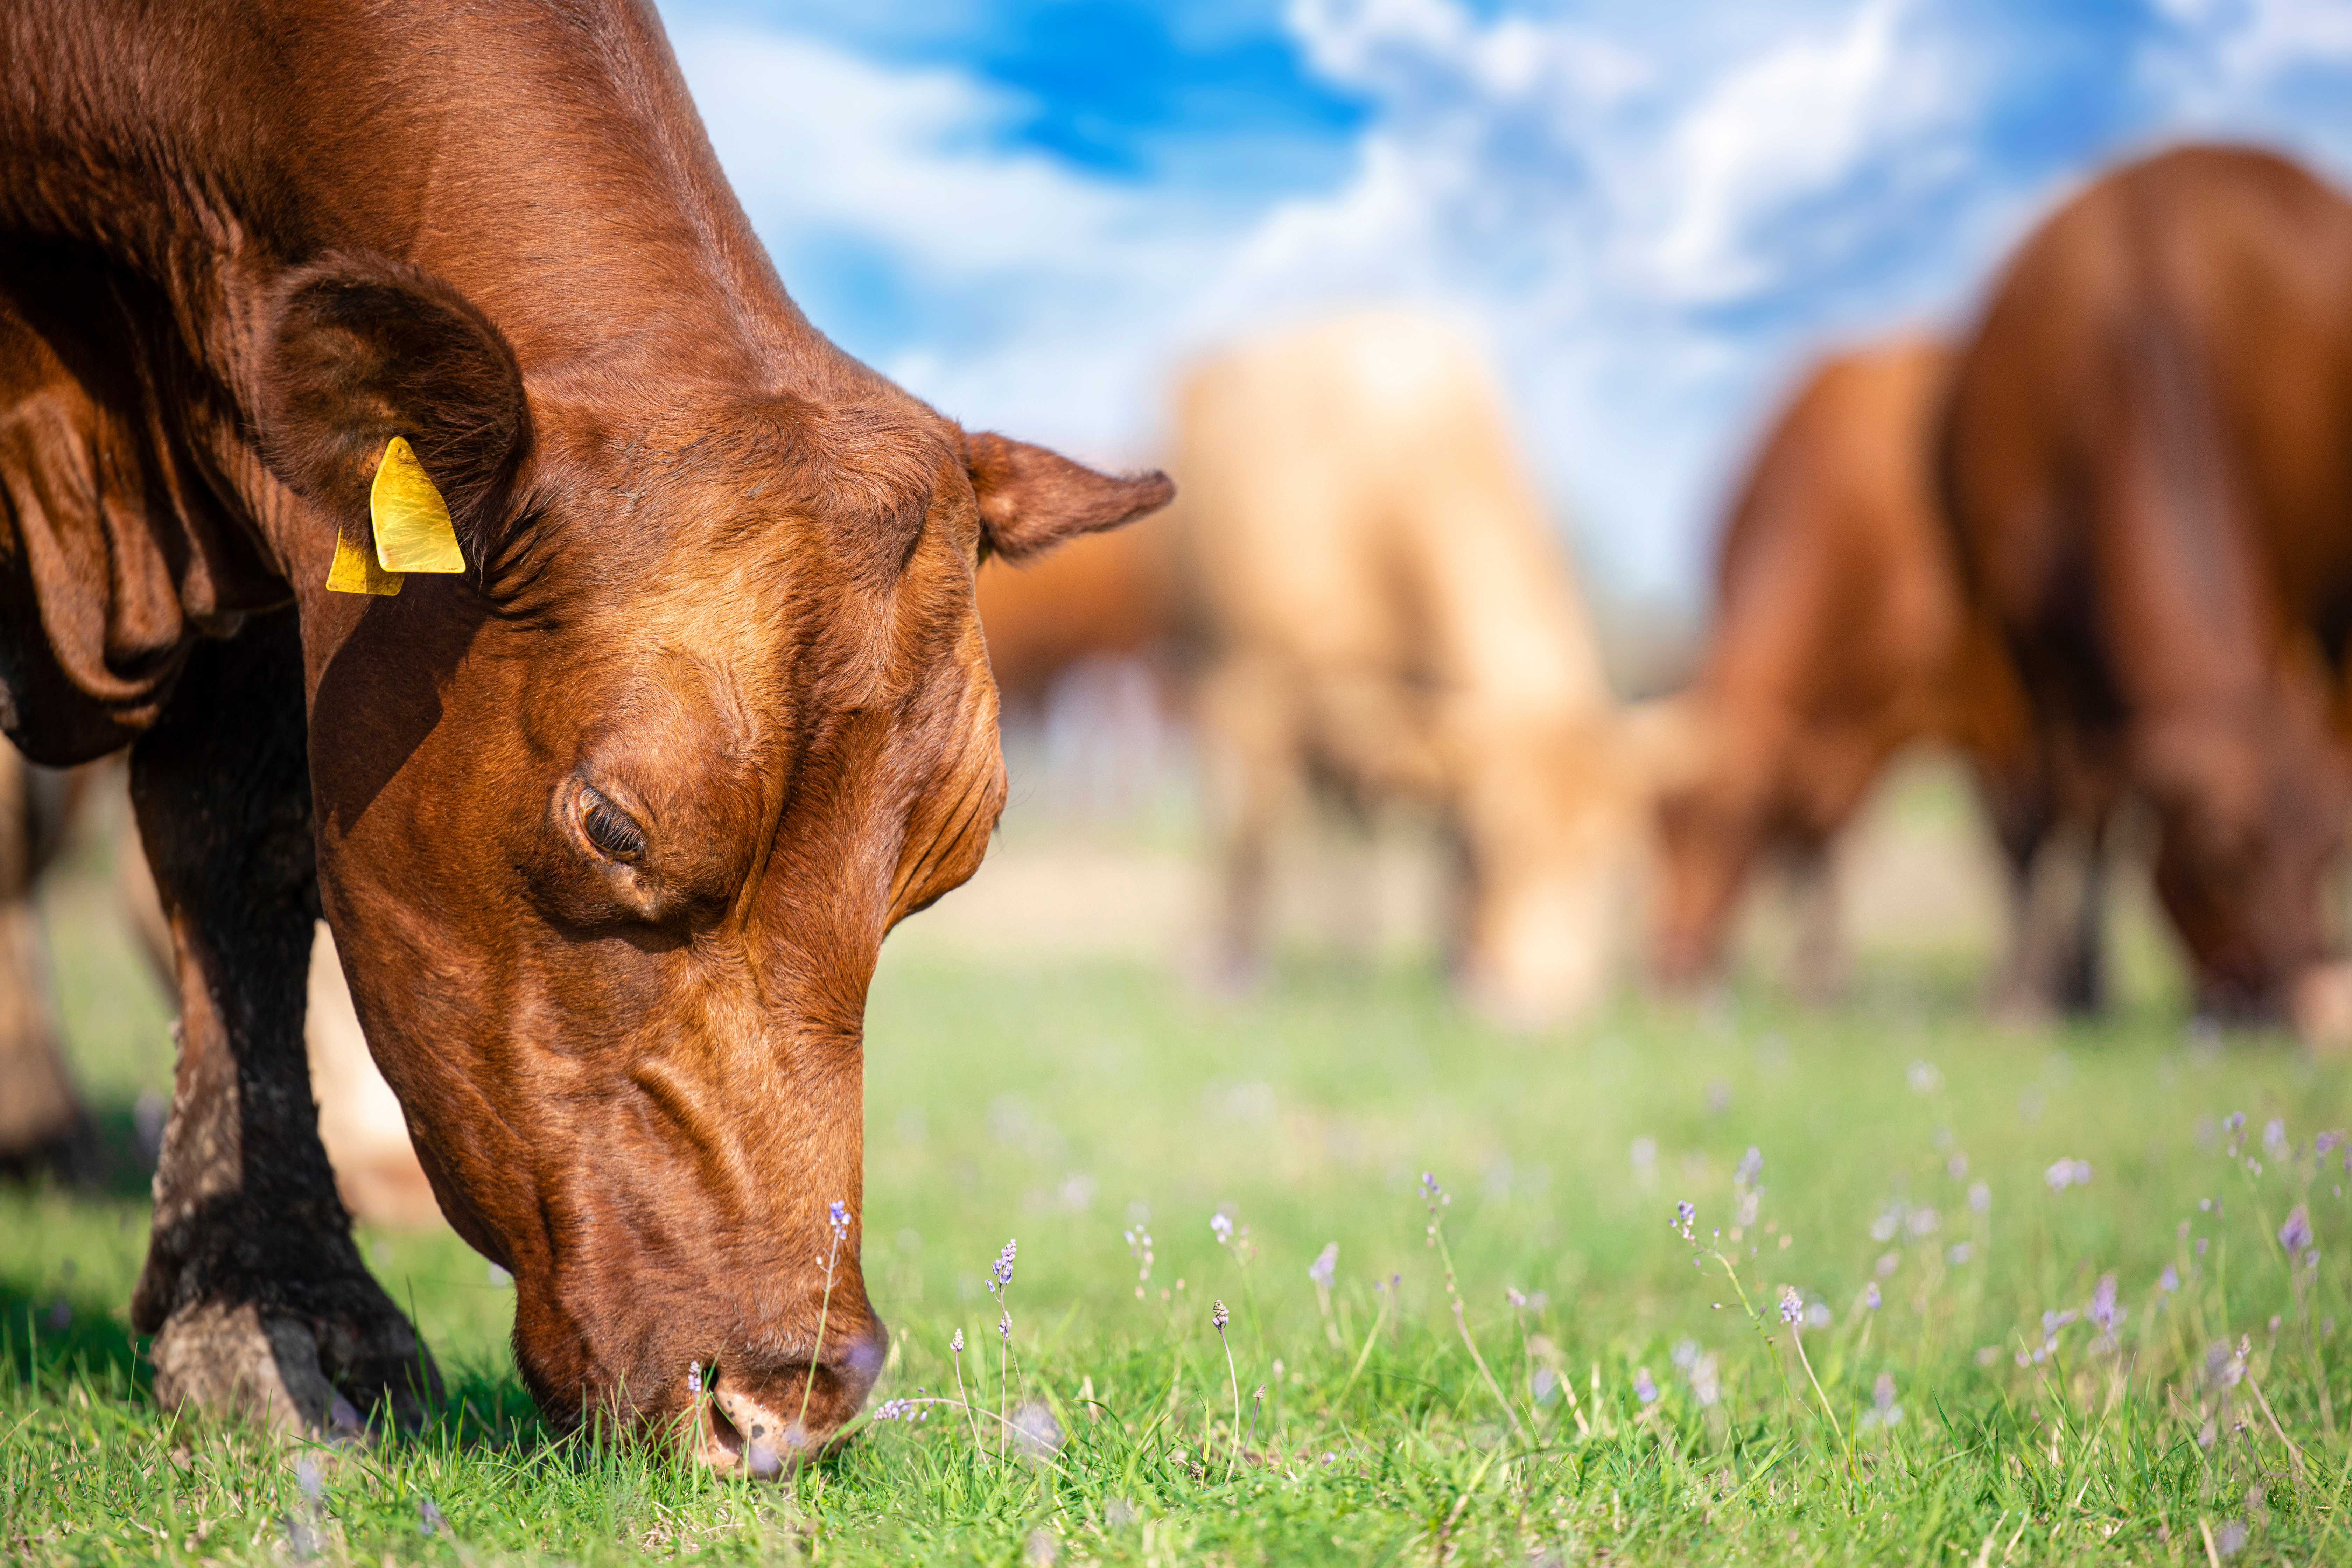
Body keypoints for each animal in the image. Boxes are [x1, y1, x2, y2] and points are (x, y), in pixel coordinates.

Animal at [1176, 310, 1637, 1025]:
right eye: (1501, 841)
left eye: (1608, 855)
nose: (1547, 1003)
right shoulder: (1255, 680)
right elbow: (1251, 833)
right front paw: (1227, 974)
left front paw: (1456, 967)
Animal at [1656, 338, 2098, 1011]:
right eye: (1653, 831)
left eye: (1731, 822)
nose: (1672, 965)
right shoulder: (1831, 737)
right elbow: (1815, 847)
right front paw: (1816, 979)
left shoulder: (1996, 706)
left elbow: (2019, 838)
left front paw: (2018, 993)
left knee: (2091, 831)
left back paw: (2084, 983)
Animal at [1938, 141, 2352, 1034]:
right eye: (2219, 855)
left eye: (2330, 850)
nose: (2321, 1004)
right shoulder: (2021, 637)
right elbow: (2060, 808)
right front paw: (2039, 993)